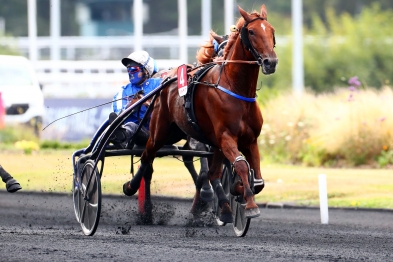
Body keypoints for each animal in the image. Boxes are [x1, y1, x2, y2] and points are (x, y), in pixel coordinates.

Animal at [121, 4, 276, 221]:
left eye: (271, 31)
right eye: (252, 32)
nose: (271, 62)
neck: (234, 89)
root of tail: (165, 82)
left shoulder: (248, 139)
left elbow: (255, 178)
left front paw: (237, 190)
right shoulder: (224, 137)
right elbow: (240, 165)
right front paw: (249, 204)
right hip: (160, 130)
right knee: (146, 157)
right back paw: (133, 189)